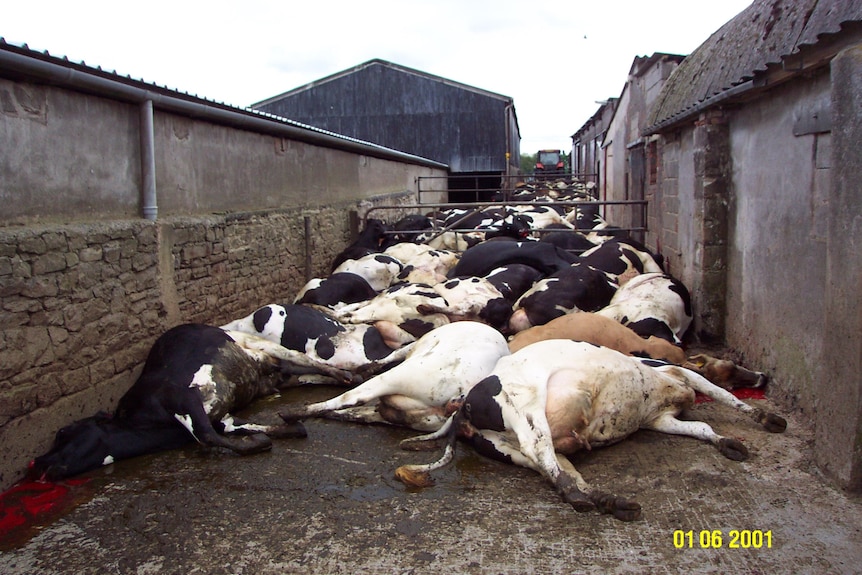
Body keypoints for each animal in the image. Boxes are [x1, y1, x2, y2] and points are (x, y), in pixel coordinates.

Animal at [29, 324, 328, 482]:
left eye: (62, 432)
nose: (37, 462)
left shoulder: (182, 397)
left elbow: (205, 437)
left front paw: (262, 442)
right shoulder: (223, 418)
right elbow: (237, 429)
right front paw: (289, 428)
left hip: (262, 347)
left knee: (317, 364)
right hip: (272, 374)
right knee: (305, 374)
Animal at [398, 342, 788, 520]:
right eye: (735, 367)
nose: (761, 377)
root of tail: (464, 404)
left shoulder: (659, 418)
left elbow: (703, 426)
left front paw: (728, 443)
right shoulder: (681, 377)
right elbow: (724, 396)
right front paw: (765, 419)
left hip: (506, 448)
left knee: (555, 467)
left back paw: (608, 500)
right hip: (526, 406)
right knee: (544, 454)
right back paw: (585, 499)